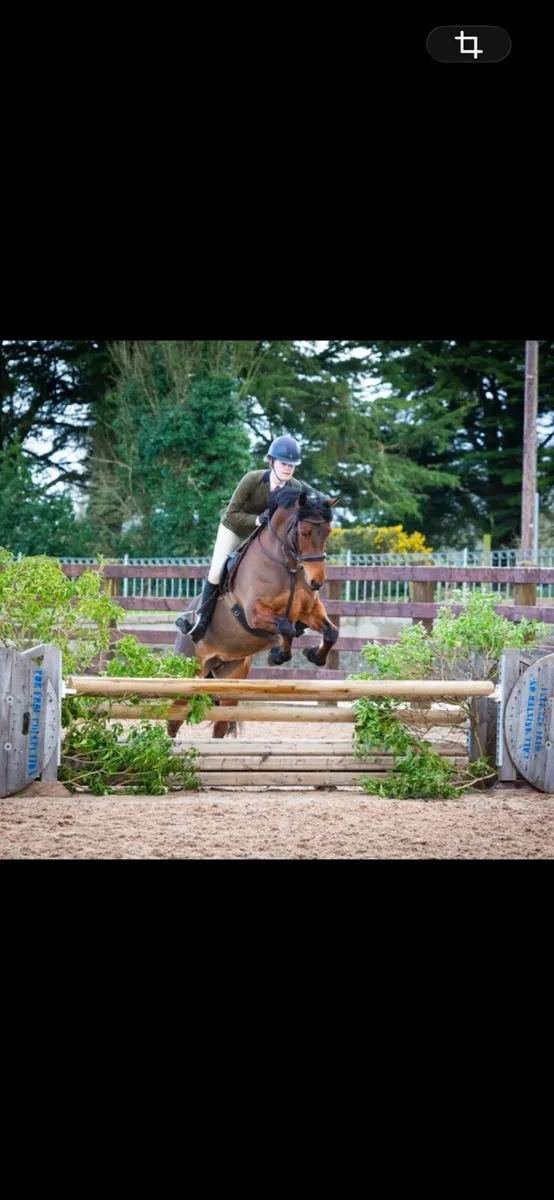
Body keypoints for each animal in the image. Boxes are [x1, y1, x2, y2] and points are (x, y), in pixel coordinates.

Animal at [168, 483, 340, 739]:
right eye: (304, 532)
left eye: (328, 532)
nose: (316, 581)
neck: (286, 566)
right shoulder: (253, 613)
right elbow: (286, 628)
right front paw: (278, 654)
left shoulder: (310, 610)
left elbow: (331, 633)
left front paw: (313, 654)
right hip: (188, 673)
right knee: (172, 721)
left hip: (229, 679)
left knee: (219, 726)